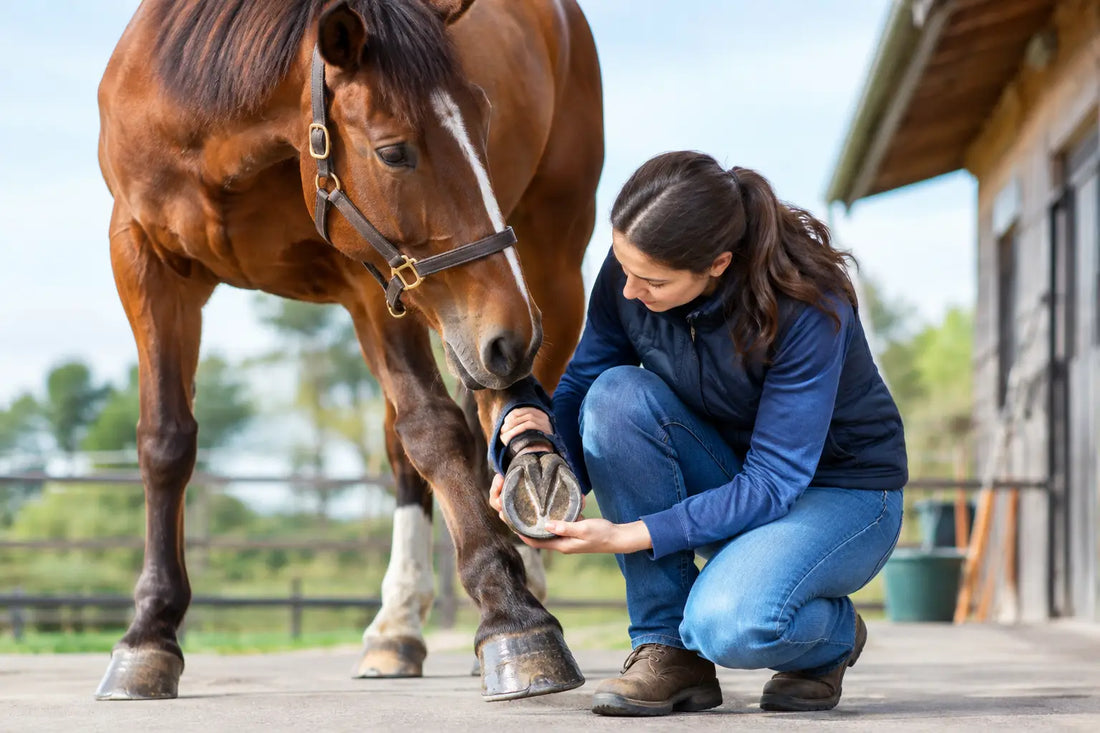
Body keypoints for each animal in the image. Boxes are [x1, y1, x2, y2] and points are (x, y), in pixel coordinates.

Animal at [95, 0, 603, 701]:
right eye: (393, 152)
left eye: (484, 117)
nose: (515, 334)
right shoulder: (144, 262)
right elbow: (164, 444)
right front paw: (148, 636)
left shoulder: (373, 280)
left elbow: (435, 431)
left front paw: (515, 620)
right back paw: (397, 629)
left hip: (539, 274)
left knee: (501, 418)